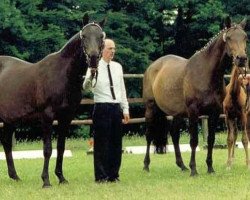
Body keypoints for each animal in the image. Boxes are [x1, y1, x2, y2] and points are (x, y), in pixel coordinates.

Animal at [0, 14, 105, 188]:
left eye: (101, 36)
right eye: (84, 36)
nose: (93, 58)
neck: (63, 75)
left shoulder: (66, 118)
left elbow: (60, 147)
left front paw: (61, 177)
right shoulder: (47, 117)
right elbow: (47, 149)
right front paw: (46, 181)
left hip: (10, 120)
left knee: (7, 143)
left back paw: (15, 176)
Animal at [143, 17, 248, 177]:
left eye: (245, 37)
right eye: (229, 37)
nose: (241, 59)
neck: (206, 74)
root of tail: (152, 67)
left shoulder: (214, 112)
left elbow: (211, 139)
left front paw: (210, 168)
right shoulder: (193, 111)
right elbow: (194, 140)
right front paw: (194, 169)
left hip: (178, 114)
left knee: (174, 135)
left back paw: (182, 166)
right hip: (151, 108)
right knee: (149, 135)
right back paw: (146, 166)